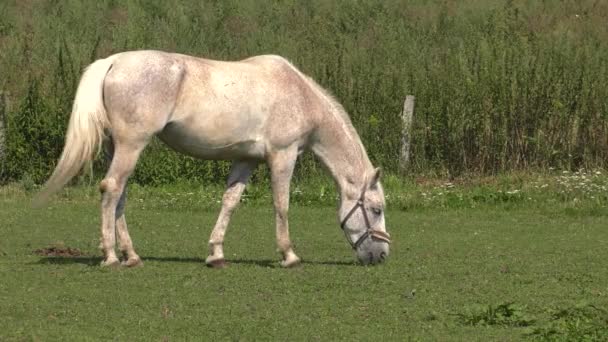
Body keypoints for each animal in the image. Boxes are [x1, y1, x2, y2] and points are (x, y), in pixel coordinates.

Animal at [35, 50, 392, 268]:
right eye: (376, 210)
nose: (381, 255)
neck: (299, 95)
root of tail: (113, 61)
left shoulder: (246, 160)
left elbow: (229, 202)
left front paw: (216, 253)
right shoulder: (283, 156)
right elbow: (282, 204)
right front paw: (288, 254)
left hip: (118, 147)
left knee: (118, 194)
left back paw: (132, 255)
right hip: (131, 145)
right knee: (111, 189)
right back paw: (110, 256)